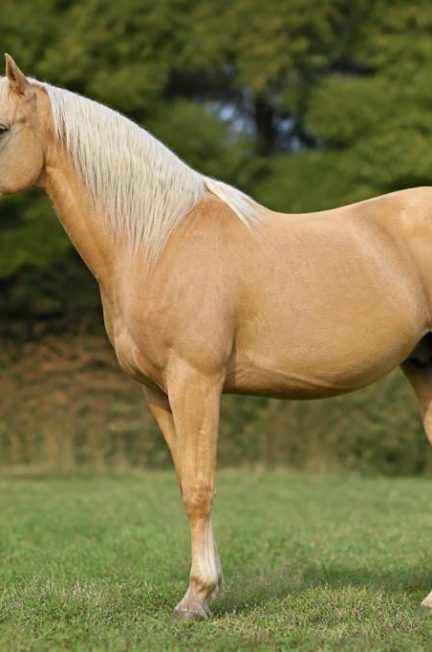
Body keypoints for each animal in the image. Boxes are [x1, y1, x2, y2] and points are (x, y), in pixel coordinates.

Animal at [1, 54, 432, 620]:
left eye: (2, 128)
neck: (158, 243)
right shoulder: (157, 391)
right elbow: (187, 479)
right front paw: (207, 589)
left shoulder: (196, 382)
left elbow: (200, 488)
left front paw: (196, 598)